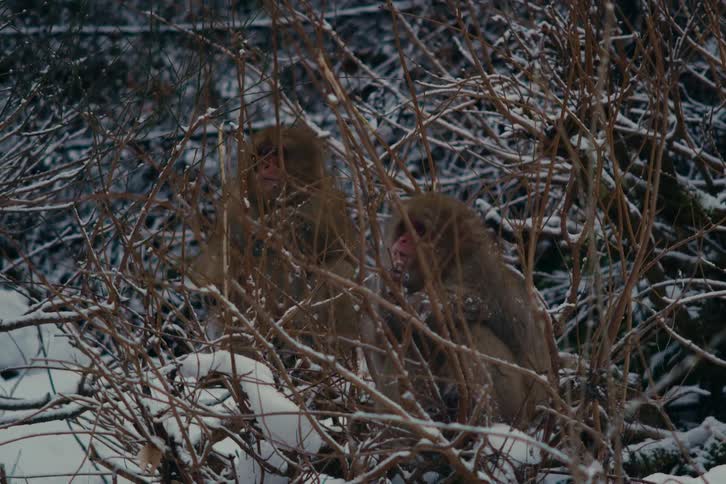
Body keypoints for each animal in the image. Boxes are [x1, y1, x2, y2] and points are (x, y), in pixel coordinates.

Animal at [191, 125, 359, 356]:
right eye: (259, 156)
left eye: (275, 154)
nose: (264, 166)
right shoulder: (234, 207)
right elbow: (214, 266)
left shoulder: (327, 205)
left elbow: (343, 258)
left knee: (337, 271)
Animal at [376, 193, 552, 425]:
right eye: (404, 229)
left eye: (419, 230)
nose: (402, 240)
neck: (450, 261)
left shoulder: (472, 273)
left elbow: (440, 312)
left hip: (517, 405)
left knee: (471, 330)